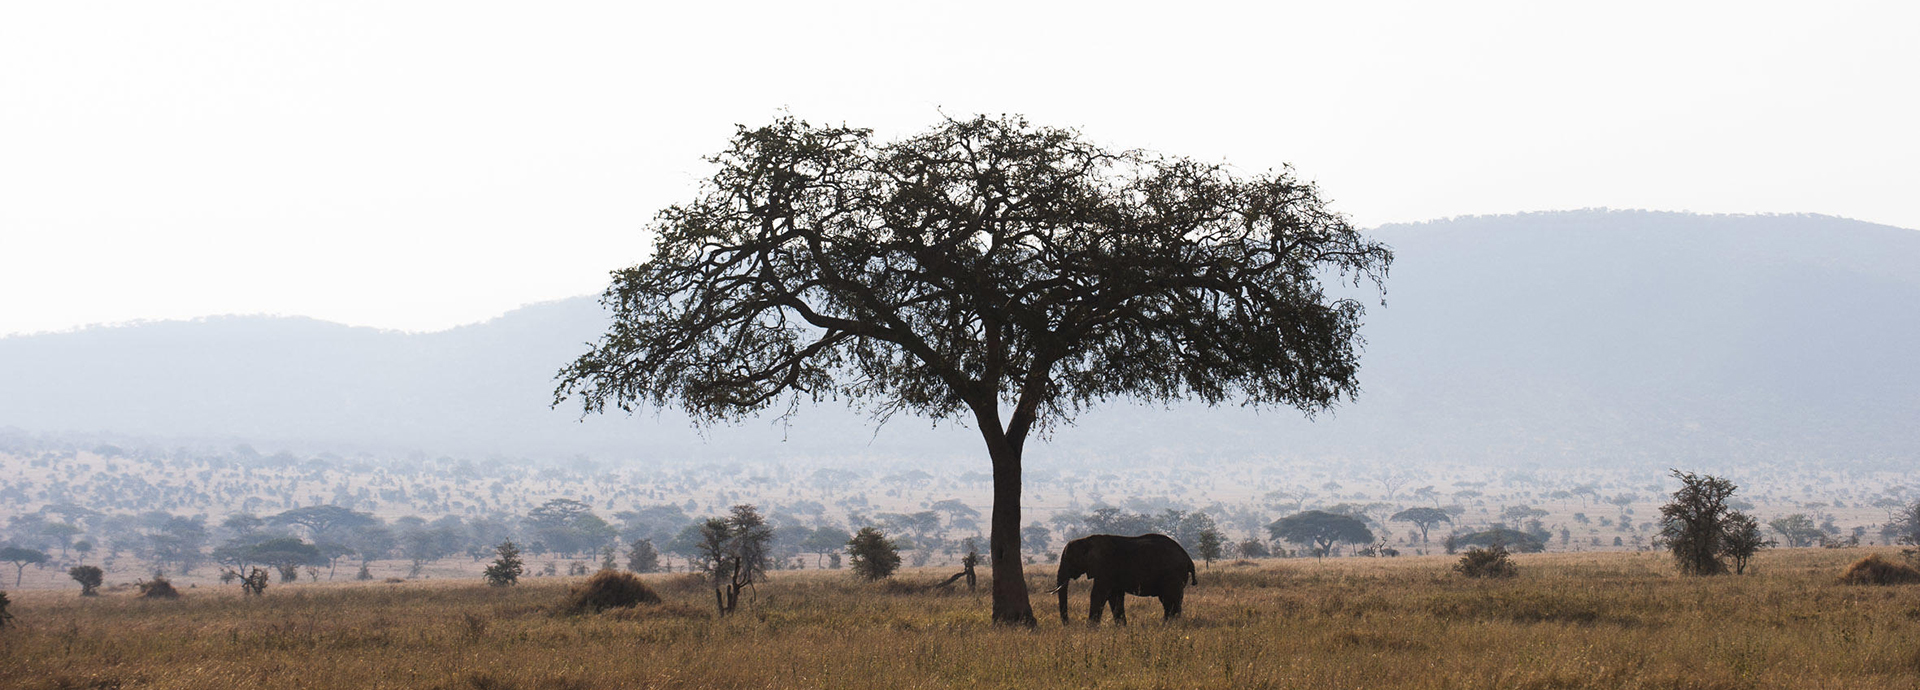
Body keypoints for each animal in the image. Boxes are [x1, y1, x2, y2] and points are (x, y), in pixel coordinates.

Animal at [1051, 533, 1197, 625]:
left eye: (1070, 560)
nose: (1068, 624)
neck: (1086, 540)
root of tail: (1188, 558)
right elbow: (1115, 597)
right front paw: (1121, 627)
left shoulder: (1105, 566)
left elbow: (1098, 594)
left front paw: (1091, 628)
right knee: (1168, 602)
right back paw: (1167, 625)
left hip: (1172, 575)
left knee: (1171, 601)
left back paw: (1169, 625)